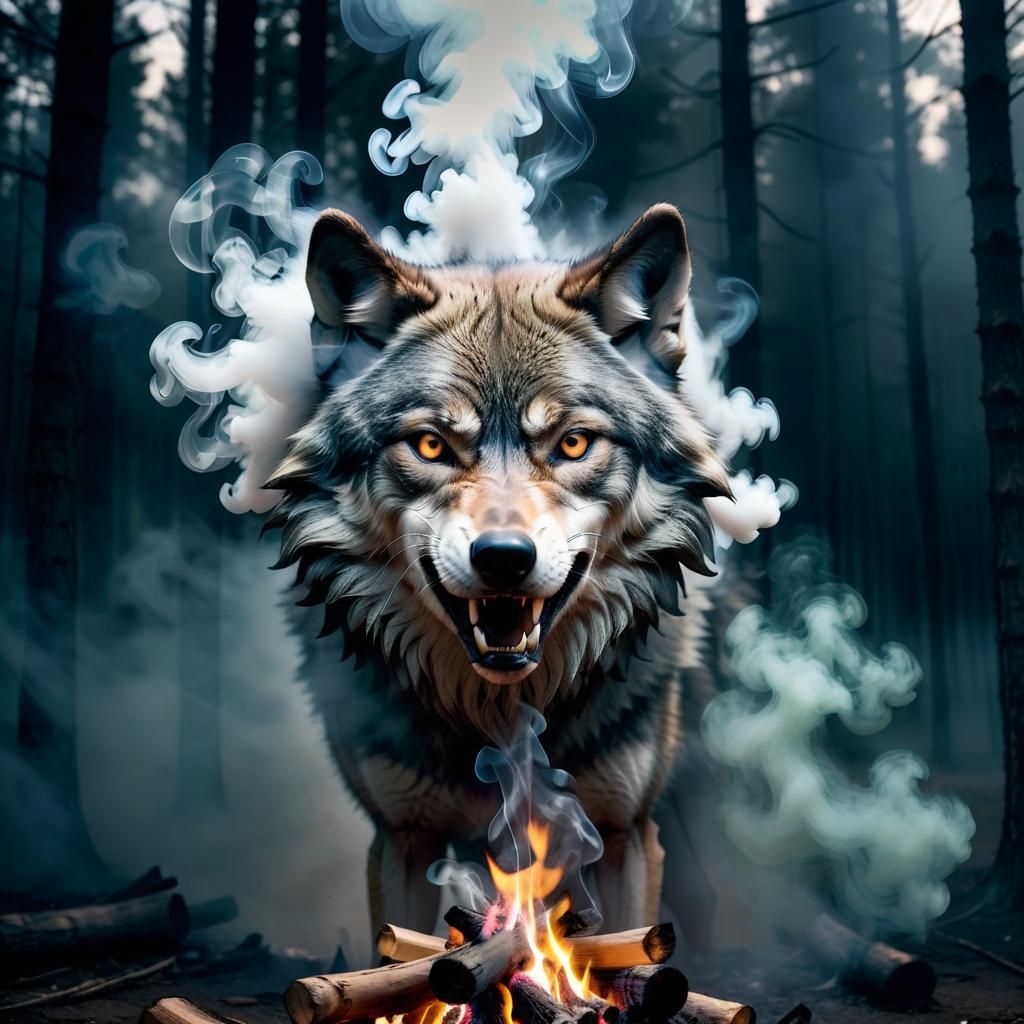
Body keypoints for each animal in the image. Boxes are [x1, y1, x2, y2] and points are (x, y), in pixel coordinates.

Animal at [264, 203, 733, 936]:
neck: (502, 715)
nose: (505, 559)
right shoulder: (403, 839)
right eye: (431, 444)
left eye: (573, 443)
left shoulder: (624, 835)